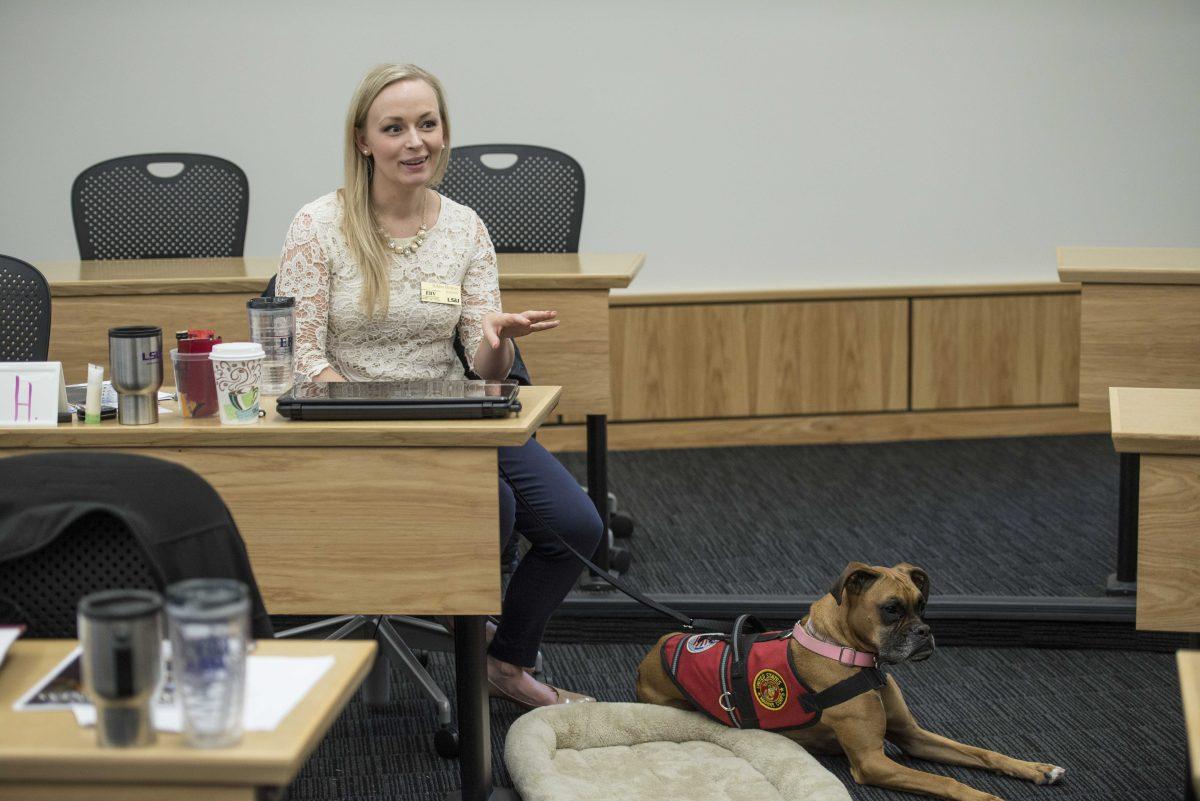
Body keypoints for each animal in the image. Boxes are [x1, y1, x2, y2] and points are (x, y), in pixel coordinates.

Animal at [633, 563, 1065, 801]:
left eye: (922, 605)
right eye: (892, 609)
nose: (925, 632)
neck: (851, 655)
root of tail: (654, 650)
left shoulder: (913, 737)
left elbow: (983, 753)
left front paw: (1036, 768)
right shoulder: (873, 762)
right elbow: (946, 782)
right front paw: (985, 798)